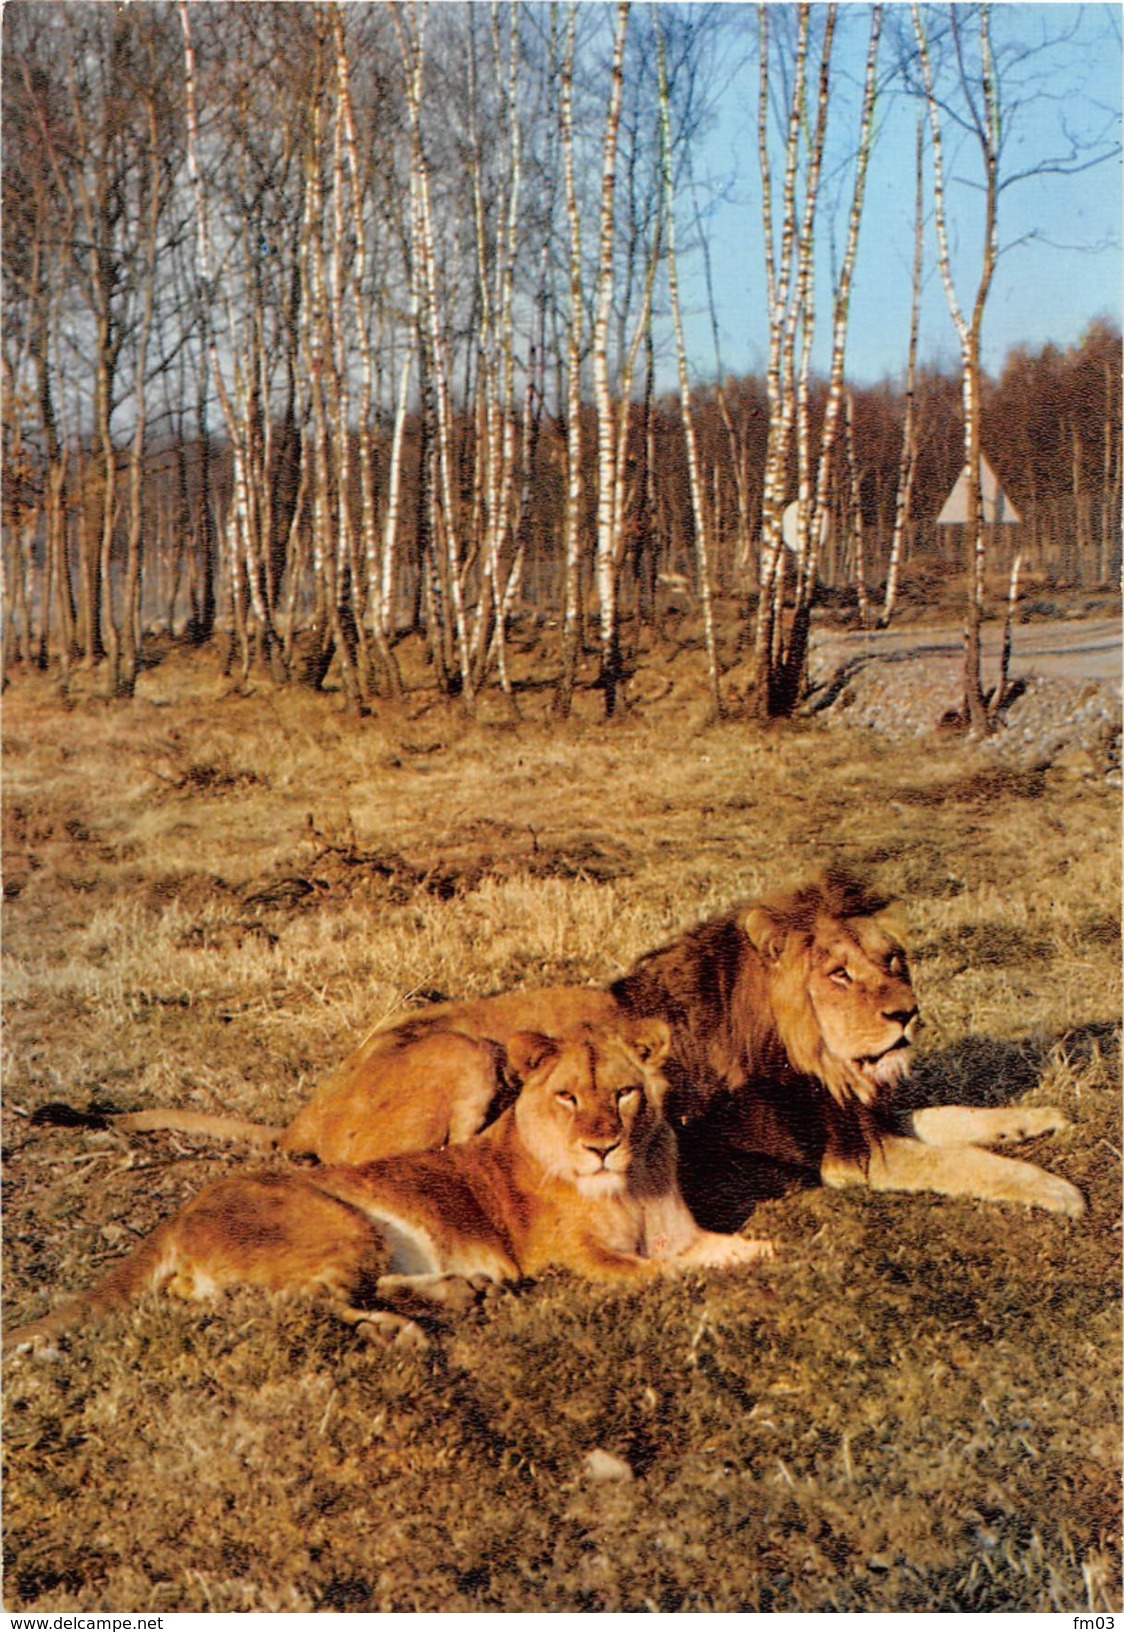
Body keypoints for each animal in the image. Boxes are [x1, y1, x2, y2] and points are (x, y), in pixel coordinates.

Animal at [2, 1018, 769, 1351]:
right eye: (568, 1098)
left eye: (624, 1093)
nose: (602, 1144)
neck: (635, 1179)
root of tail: (179, 1213)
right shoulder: (573, 1260)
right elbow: (656, 1273)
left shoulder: (683, 1231)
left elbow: (723, 1249)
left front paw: (767, 1256)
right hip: (340, 1221)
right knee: (314, 1301)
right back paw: (402, 1329)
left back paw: (466, 1290)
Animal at [39, 868, 1083, 1227]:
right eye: (839, 975)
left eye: (893, 960)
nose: (908, 1015)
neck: (826, 1058)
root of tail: (306, 1107)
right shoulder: (847, 1156)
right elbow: (960, 1162)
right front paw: (1058, 1190)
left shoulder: (864, 1113)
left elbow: (959, 1115)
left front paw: (1040, 1115)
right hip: (466, 1054)